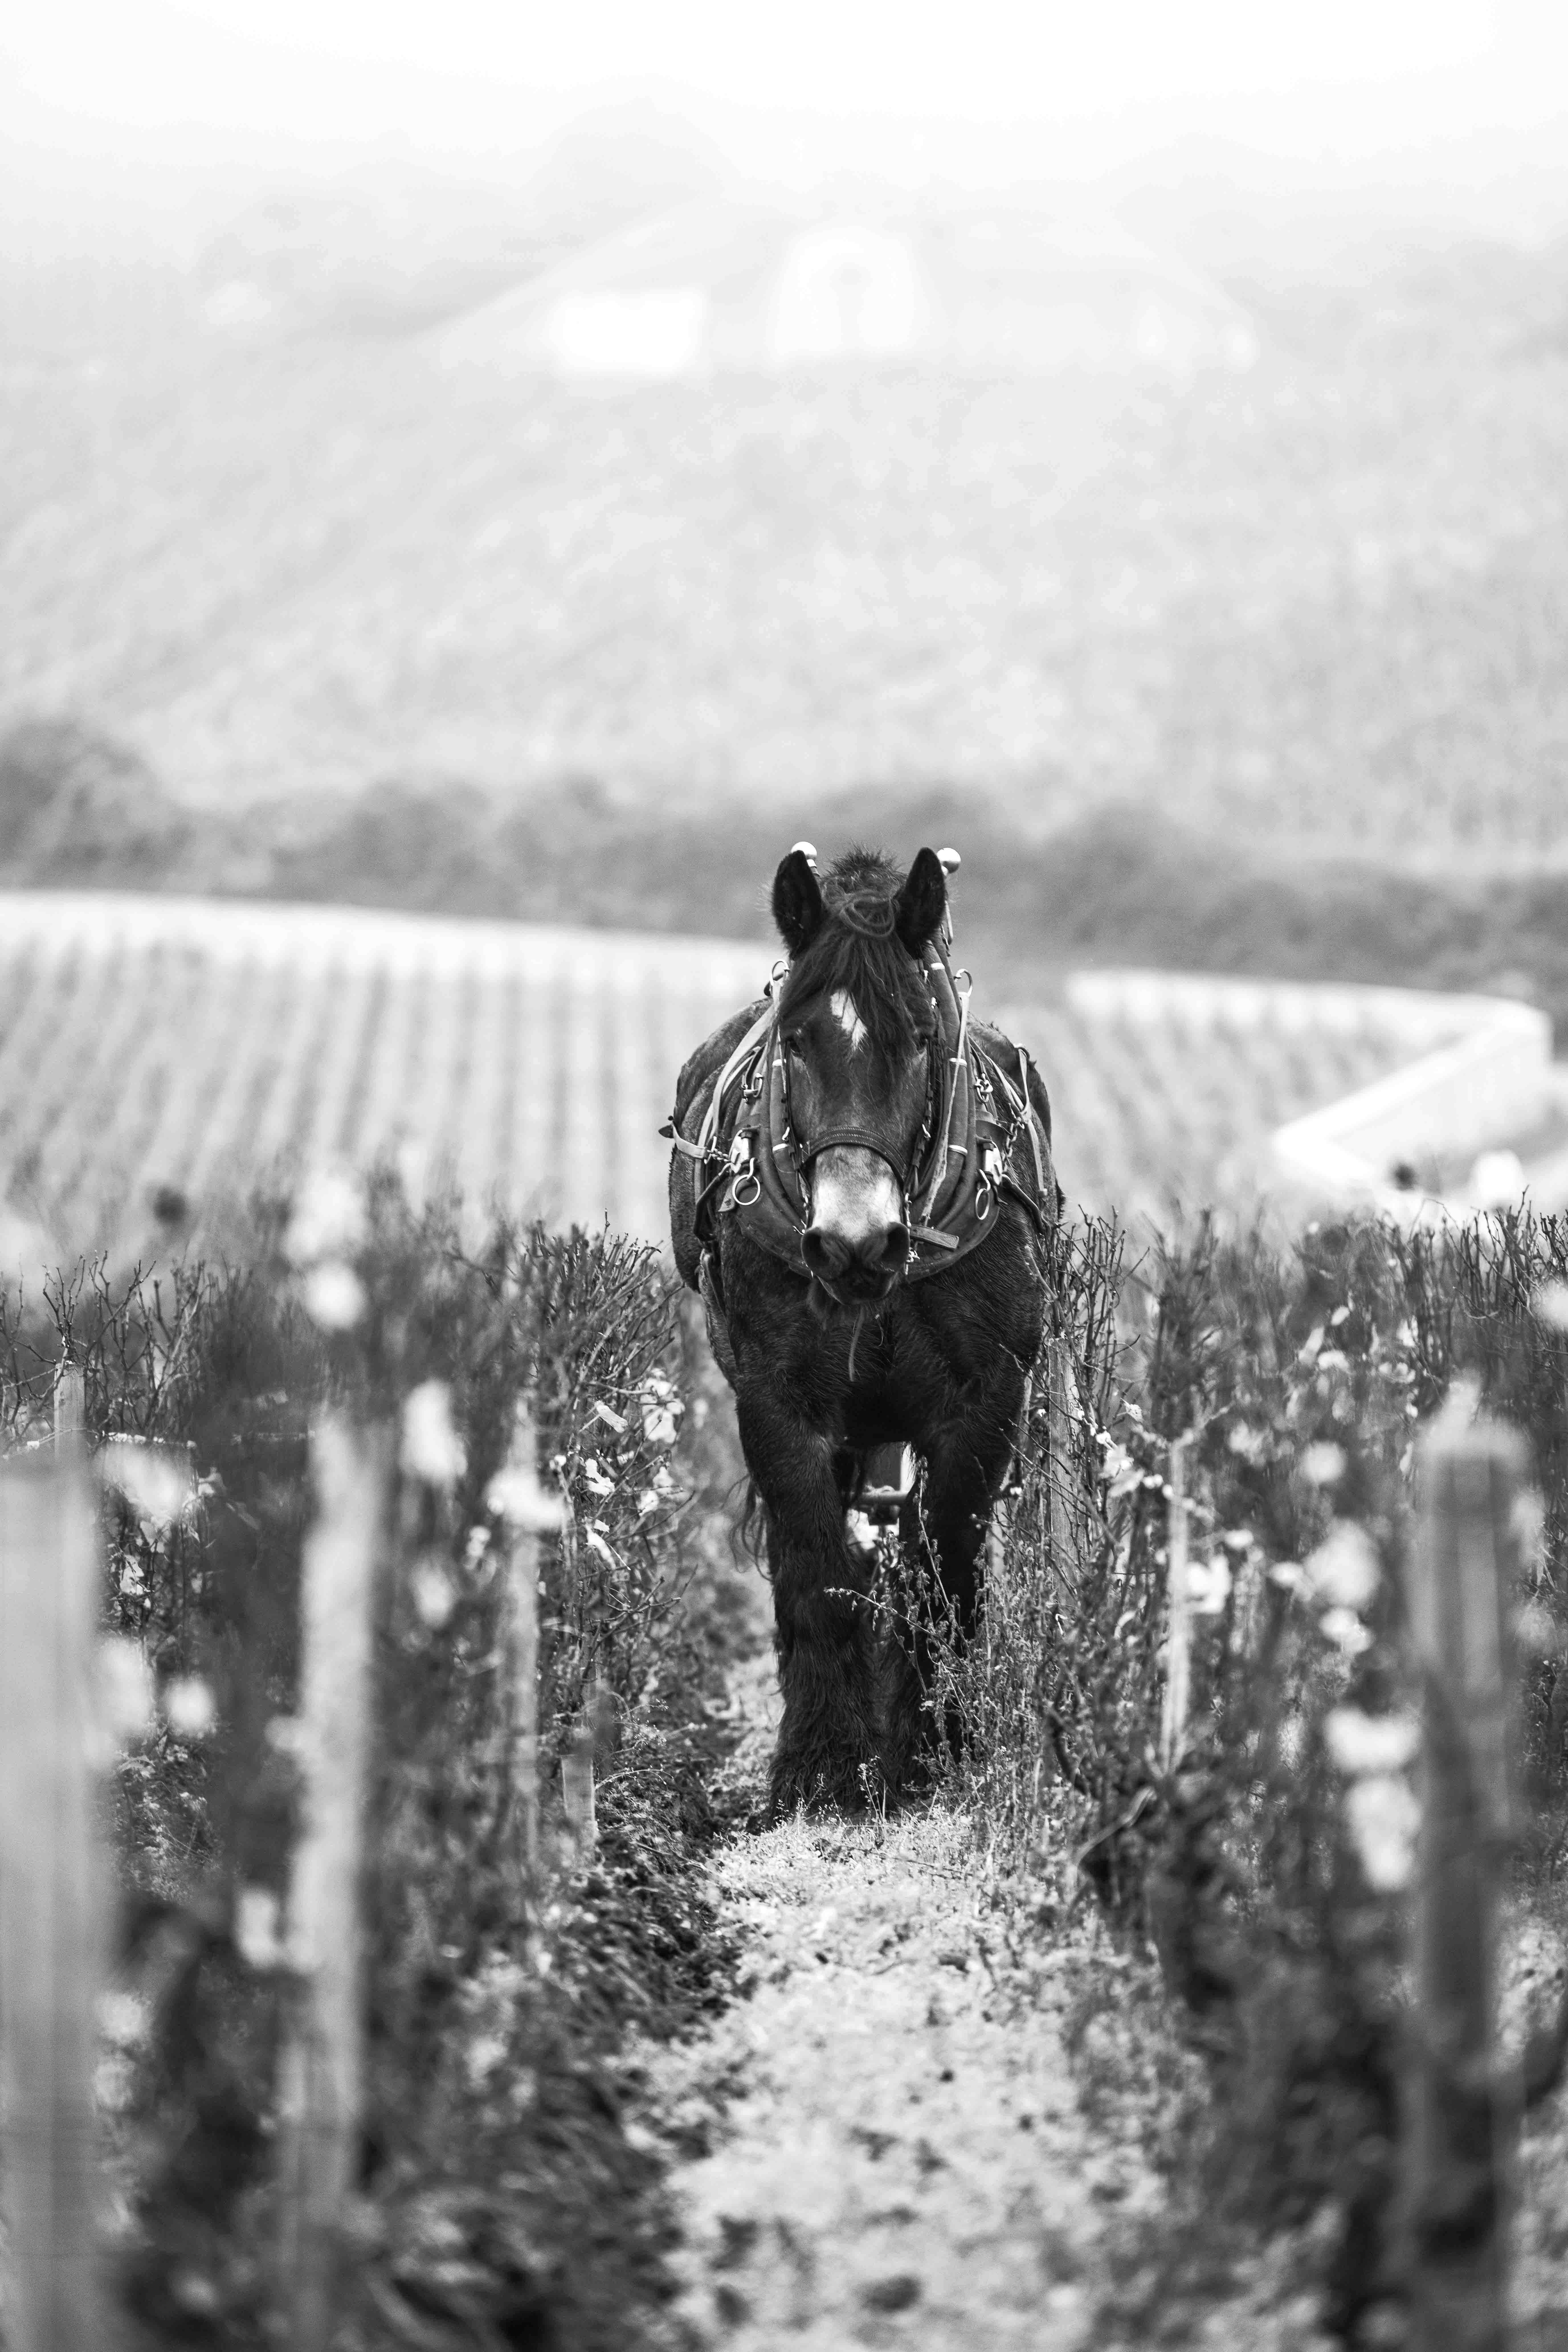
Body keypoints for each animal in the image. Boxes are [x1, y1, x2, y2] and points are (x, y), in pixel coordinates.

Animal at [667, 843, 1058, 1814]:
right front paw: (819, 1759)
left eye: (919, 1037)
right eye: (797, 1039)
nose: (853, 1240)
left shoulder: (984, 1405)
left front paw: (932, 1747)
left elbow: (944, 1566)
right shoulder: (778, 1404)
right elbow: (817, 1567)